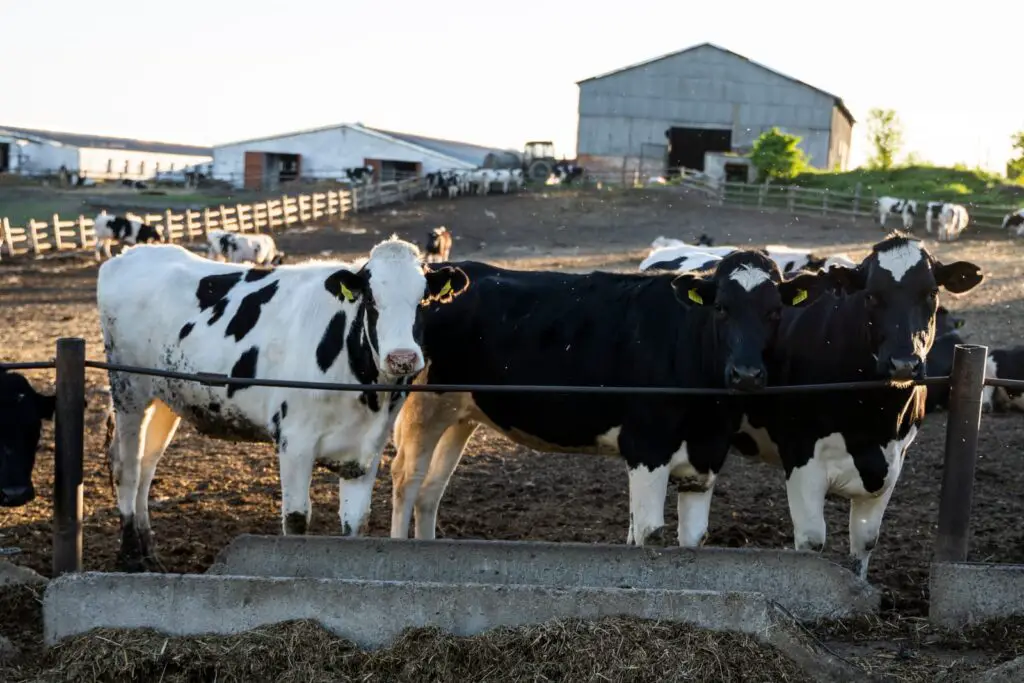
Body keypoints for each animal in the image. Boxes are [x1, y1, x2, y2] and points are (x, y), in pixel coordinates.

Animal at [96, 236, 470, 570]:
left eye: (423, 300)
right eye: (370, 300)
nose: (402, 358)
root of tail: (128, 255)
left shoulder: (366, 451)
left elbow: (355, 522)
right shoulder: (295, 441)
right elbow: (296, 518)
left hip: (165, 397)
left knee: (147, 465)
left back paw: (149, 551)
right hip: (129, 391)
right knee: (127, 468)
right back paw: (131, 556)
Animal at [388, 251, 835, 547]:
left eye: (775, 312)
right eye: (721, 308)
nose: (746, 375)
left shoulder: (707, 455)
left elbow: (692, 537)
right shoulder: (646, 446)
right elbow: (647, 533)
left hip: (458, 411)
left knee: (431, 491)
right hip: (422, 405)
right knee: (406, 480)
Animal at [730, 232, 983, 579]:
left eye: (931, 292)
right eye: (872, 295)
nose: (904, 363)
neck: (874, 420)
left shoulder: (894, 461)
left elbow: (865, 540)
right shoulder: (801, 455)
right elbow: (811, 542)